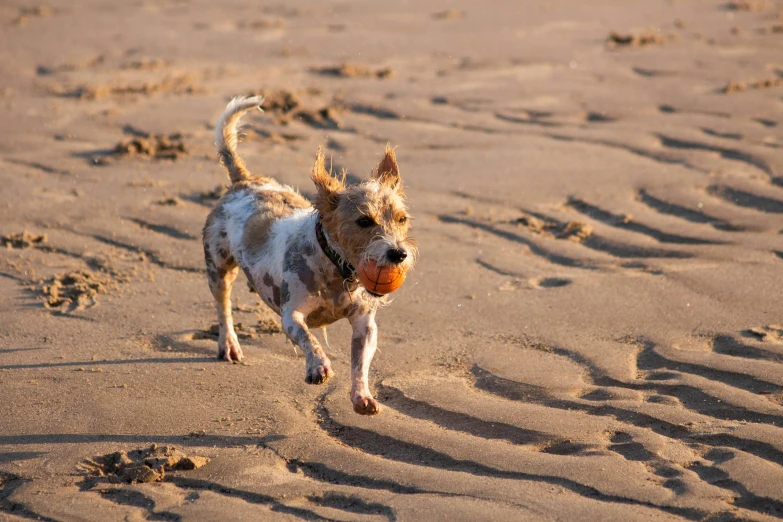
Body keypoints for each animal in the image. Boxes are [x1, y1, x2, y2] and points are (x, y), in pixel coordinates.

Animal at [205, 96, 420, 414]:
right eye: (364, 221)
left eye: (402, 219)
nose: (398, 253)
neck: (335, 268)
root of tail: (245, 181)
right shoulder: (290, 315)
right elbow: (307, 337)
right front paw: (319, 367)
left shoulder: (365, 324)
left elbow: (360, 362)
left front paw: (362, 395)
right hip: (217, 267)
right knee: (223, 308)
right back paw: (229, 343)